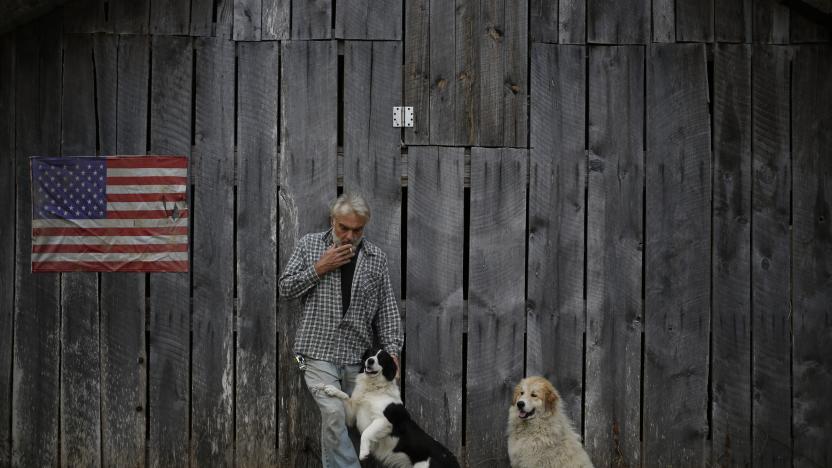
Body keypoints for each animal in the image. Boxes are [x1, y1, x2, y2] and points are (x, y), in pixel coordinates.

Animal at [320, 350, 462, 466]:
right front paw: (332, 390)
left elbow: (366, 432)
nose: (370, 360)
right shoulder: (352, 417)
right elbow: (345, 397)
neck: (373, 389)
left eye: (382, 358)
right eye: (370, 354)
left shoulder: (384, 421)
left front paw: (363, 452)